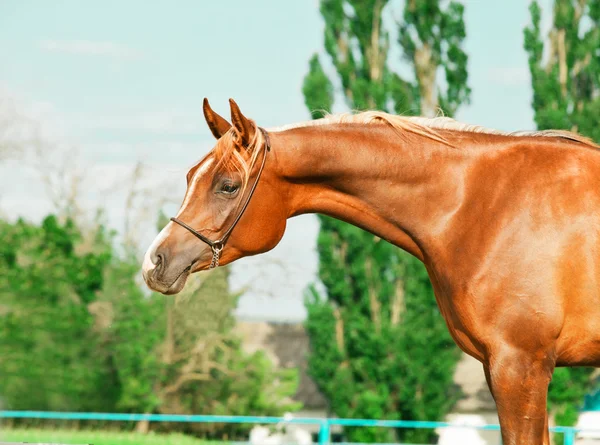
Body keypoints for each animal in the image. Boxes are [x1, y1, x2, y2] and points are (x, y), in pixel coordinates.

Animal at [143, 98, 600, 444]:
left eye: (228, 186)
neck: (486, 203)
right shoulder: (504, 369)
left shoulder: (520, 367)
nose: (155, 262)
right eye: (190, 176)